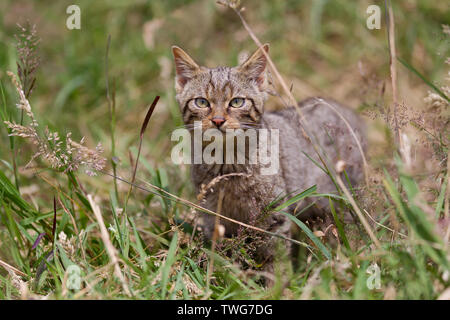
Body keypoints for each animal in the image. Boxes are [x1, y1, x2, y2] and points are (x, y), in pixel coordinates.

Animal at [171, 43, 366, 272]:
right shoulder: (212, 214)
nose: (218, 120)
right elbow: (219, 253)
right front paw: (219, 273)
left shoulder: (274, 212)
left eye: (237, 102)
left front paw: (278, 280)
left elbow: (275, 255)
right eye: (202, 102)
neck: (227, 162)